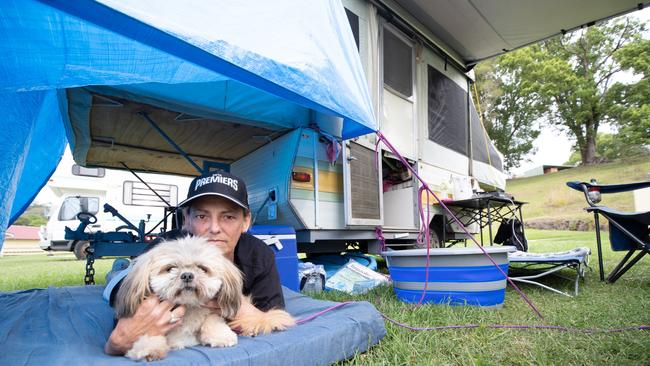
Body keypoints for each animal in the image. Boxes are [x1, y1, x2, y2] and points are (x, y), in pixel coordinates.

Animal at [115, 236, 294, 362]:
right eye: (170, 268)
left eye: (202, 268)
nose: (187, 275)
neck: (189, 308)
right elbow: (150, 333)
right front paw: (148, 349)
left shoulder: (214, 312)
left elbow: (212, 320)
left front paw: (221, 337)